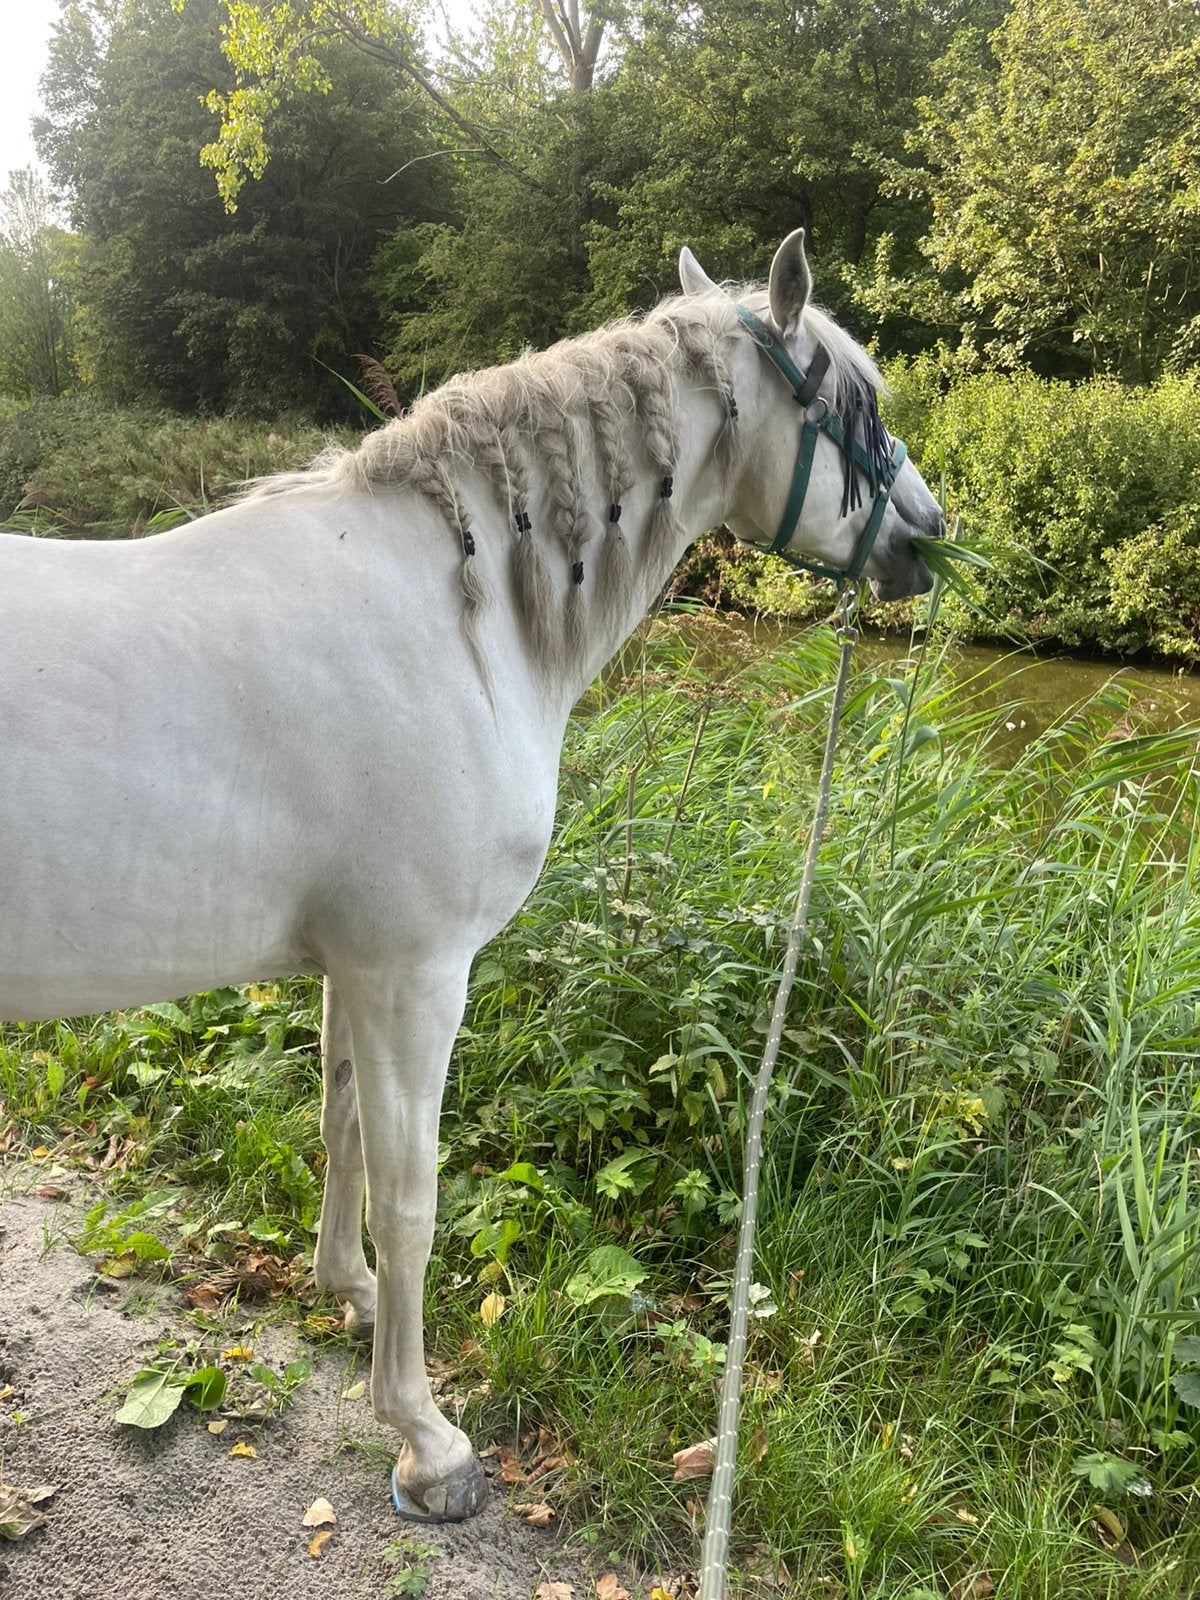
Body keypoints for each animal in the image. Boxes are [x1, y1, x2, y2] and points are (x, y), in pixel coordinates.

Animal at [0, 231, 942, 1520]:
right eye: (858, 406)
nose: (927, 535)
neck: (458, 617)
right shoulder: (416, 973)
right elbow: (414, 1192)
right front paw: (425, 1438)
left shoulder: (355, 966)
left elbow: (343, 1127)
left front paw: (345, 1290)